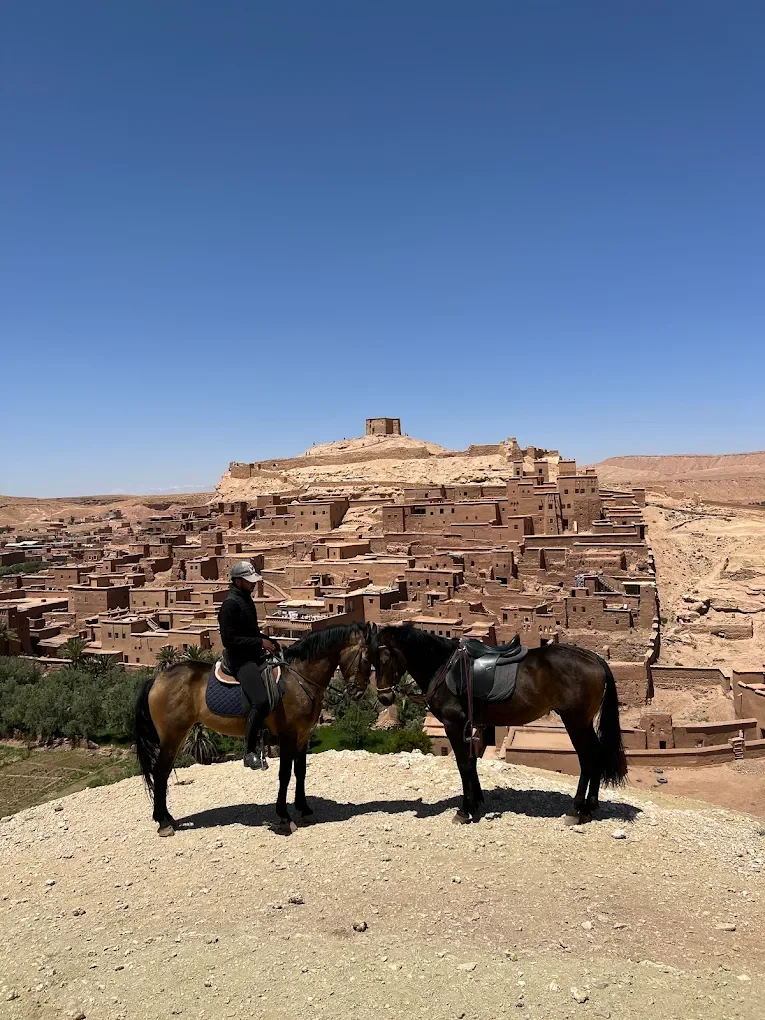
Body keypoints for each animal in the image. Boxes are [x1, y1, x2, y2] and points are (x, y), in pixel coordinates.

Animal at [134, 622, 372, 836]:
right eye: (366, 659)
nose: (358, 692)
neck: (298, 678)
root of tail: (156, 680)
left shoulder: (304, 736)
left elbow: (301, 772)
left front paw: (304, 809)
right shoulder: (288, 736)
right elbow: (285, 774)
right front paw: (284, 817)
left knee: (163, 772)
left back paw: (167, 818)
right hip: (172, 735)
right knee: (160, 771)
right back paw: (163, 822)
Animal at [369, 623, 627, 824]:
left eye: (385, 658)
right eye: (370, 661)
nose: (384, 697)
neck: (442, 666)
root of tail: (595, 659)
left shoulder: (453, 723)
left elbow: (463, 764)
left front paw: (464, 810)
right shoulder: (470, 724)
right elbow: (472, 761)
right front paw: (476, 802)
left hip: (575, 720)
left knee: (588, 758)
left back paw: (576, 810)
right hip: (583, 721)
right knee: (597, 755)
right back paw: (589, 808)